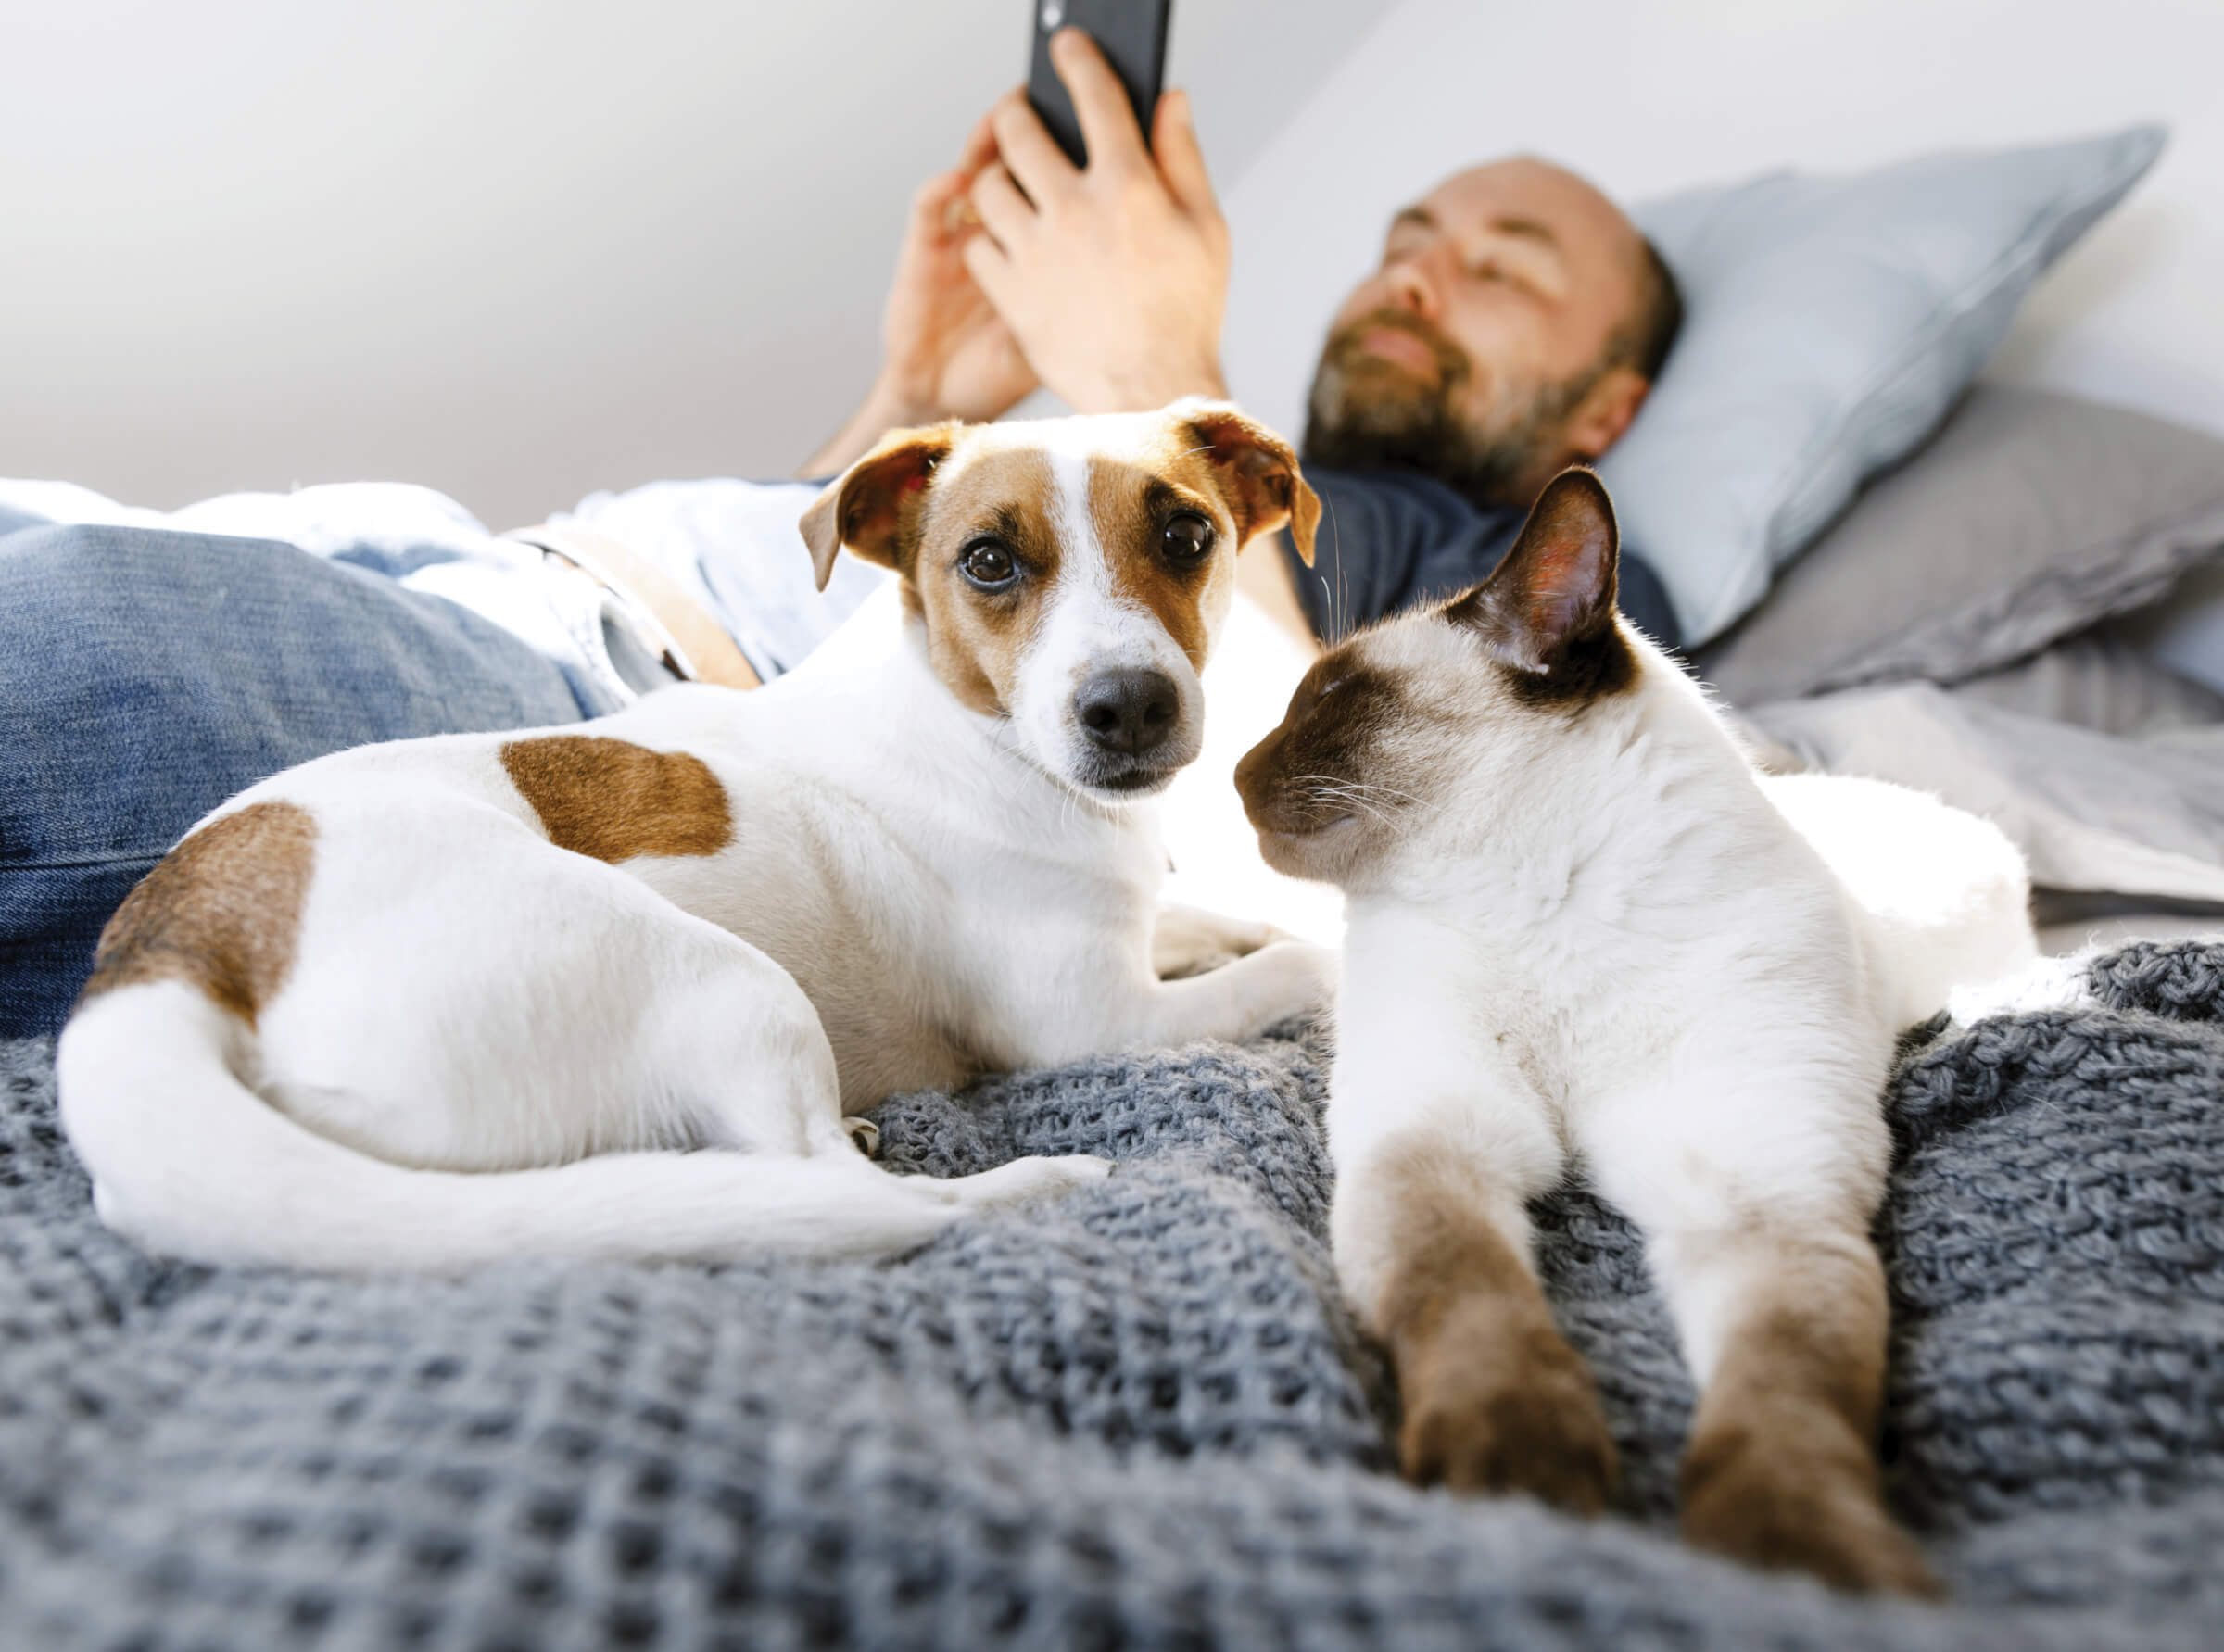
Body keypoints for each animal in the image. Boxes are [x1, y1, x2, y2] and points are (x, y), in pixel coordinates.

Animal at [56, 404, 1334, 1280]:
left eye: (1187, 533)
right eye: (987, 561)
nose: (1130, 708)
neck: (974, 727)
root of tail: (164, 952)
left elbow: (1218, 918)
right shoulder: (1096, 1021)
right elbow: (1289, 965)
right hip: (724, 983)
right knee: (851, 1194)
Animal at [1236, 471, 2037, 1592]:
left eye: (1328, 700)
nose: (1230, 771)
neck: (1549, 916)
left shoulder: (1760, 1199)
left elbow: (1788, 1393)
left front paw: (1807, 1557)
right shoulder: (1436, 1141)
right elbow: (1472, 1298)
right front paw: (1519, 1475)